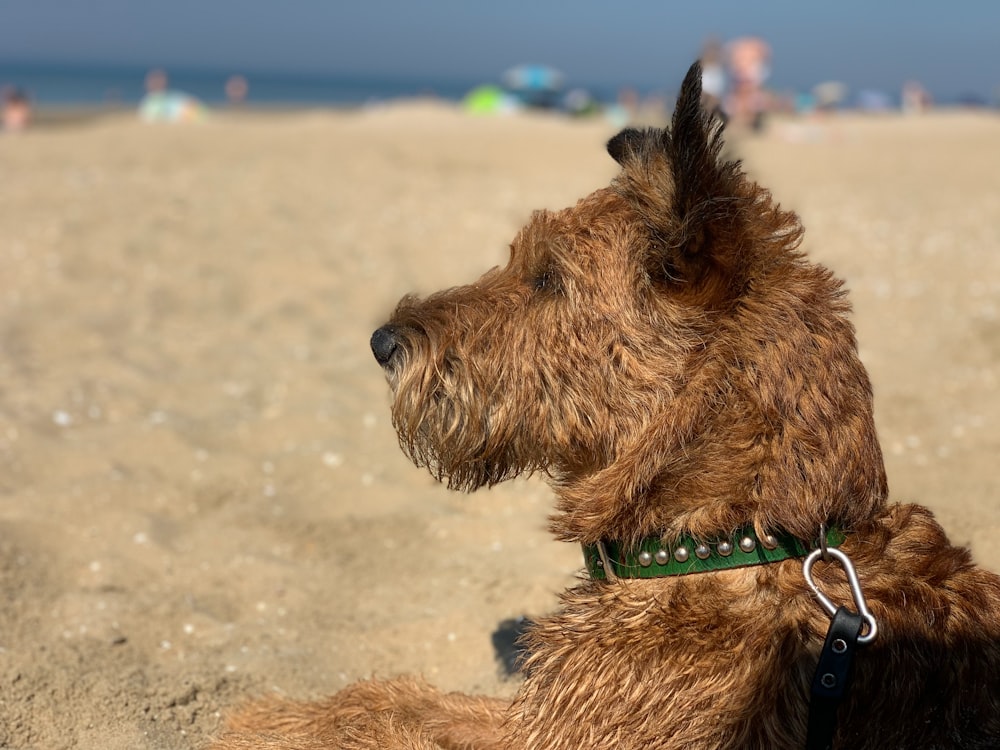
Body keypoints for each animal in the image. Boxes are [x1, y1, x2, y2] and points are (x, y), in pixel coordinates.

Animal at [209, 64, 1000, 750]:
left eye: (548, 278)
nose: (382, 341)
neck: (733, 533)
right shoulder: (543, 713)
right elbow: (397, 698)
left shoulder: (558, 732)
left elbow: (384, 713)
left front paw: (263, 720)